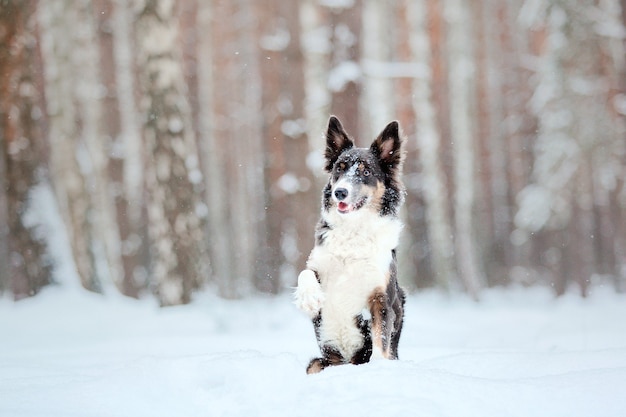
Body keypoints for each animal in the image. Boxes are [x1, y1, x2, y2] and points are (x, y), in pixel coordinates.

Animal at [292, 114, 404, 374]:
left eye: (366, 171)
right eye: (339, 169)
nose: (340, 192)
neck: (354, 230)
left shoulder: (381, 296)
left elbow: (381, 339)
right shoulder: (319, 265)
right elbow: (305, 272)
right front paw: (309, 298)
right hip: (318, 362)